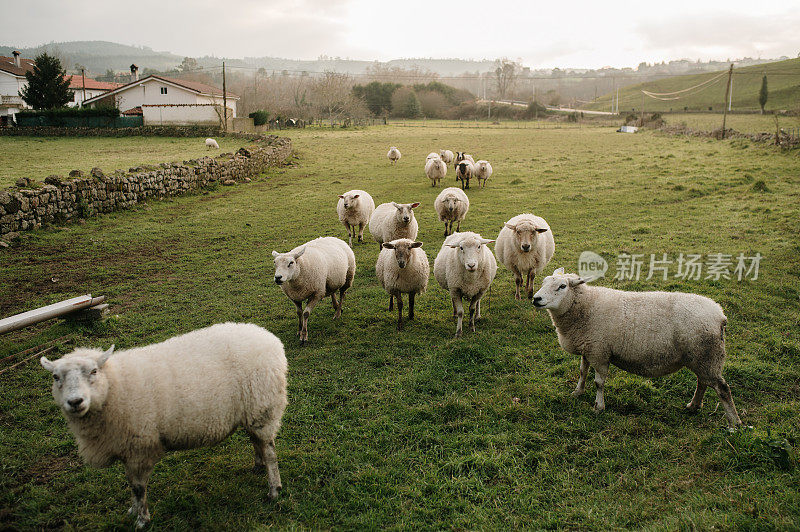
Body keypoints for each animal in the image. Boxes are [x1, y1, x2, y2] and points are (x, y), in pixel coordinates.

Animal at [38, 322, 288, 528]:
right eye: (56, 377)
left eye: (93, 371)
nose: (75, 402)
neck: (114, 385)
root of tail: (269, 338)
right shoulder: (126, 448)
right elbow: (130, 484)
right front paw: (133, 510)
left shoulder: (140, 447)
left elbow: (138, 487)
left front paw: (142, 519)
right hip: (253, 412)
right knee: (256, 441)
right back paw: (258, 466)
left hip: (264, 407)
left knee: (269, 451)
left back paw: (273, 488)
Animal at [536, 266, 740, 428]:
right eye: (544, 282)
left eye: (562, 286)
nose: (536, 298)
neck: (586, 307)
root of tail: (720, 315)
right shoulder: (588, 349)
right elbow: (582, 372)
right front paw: (577, 392)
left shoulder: (600, 352)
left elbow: (599, 383)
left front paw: (598, 407)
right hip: (702, 357)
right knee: (703, 382)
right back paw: (694, 406)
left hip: (708, 354)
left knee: (722, 388)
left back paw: (734, 424)